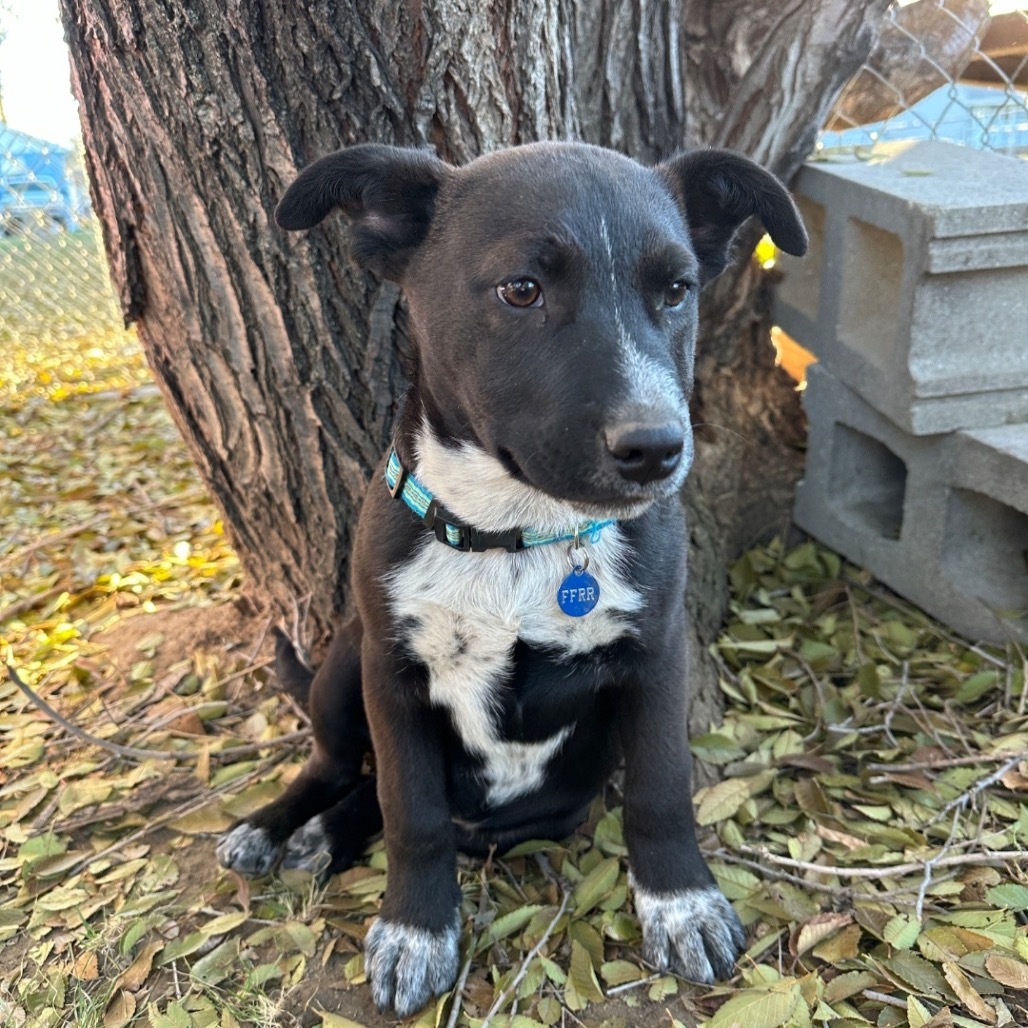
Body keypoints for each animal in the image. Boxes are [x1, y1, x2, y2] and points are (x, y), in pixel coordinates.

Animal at [216, 140, 805, 1015]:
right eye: (521, 290)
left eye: (677, 291)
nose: (657, 449)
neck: (518, 534)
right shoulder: (393, 676)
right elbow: (412, 810)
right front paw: (416, 930)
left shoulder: (656, 656)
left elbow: (661, 790)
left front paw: (681, 904)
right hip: (345, 661)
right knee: (336, 765)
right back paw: (279, 825)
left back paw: (328, 833)